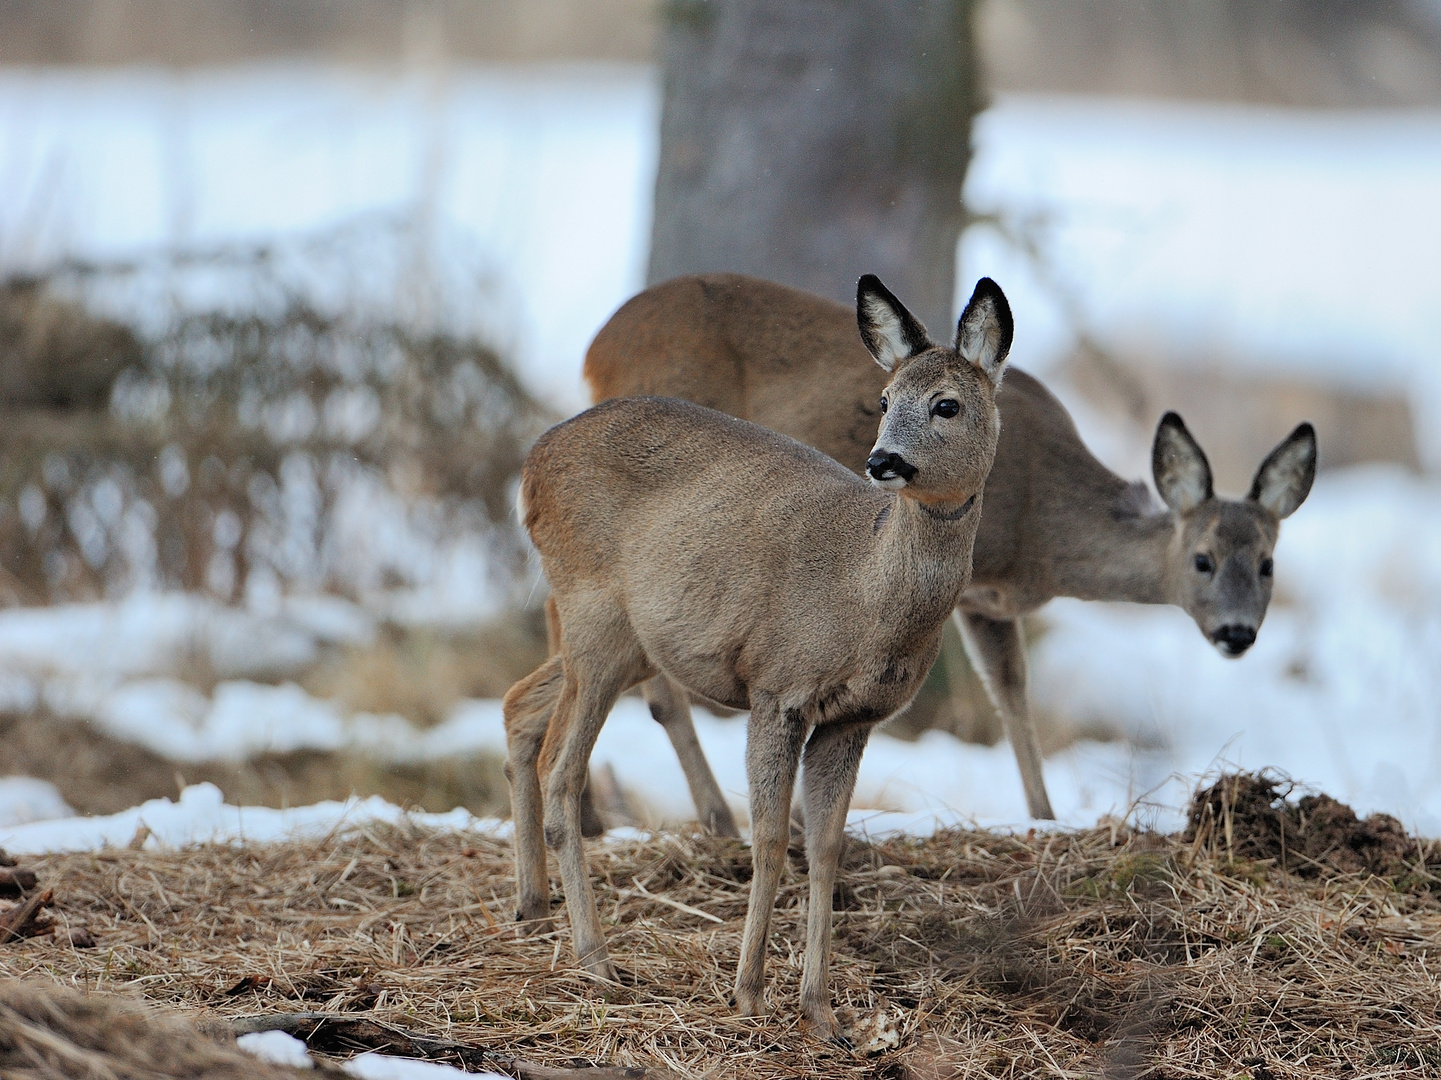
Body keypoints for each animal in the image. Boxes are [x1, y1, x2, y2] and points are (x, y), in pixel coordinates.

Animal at [507, 273, 1014, 1032]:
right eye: (884, 399)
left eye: (946, 404)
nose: (882, 461)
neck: (866, 597)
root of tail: (530, 468)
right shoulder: (778, 688)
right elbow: (771, 838)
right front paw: (748, 992)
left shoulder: (854, 719)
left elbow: (827, 846)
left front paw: (821, 1010)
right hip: (594, 614)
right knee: (560, 767)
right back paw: (596, 960)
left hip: (628, 641)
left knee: (519, 705)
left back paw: (532, 908)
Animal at [585, 269, 1319, 819]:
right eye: (1202, 560)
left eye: (1267, 564)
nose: (1236, 633)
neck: (1042, 532)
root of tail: (597, 348)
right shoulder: (965, 584)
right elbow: (996, 691)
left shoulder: (992, 602)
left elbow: (1013, 693)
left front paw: (1044, 818)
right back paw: (716, 820)